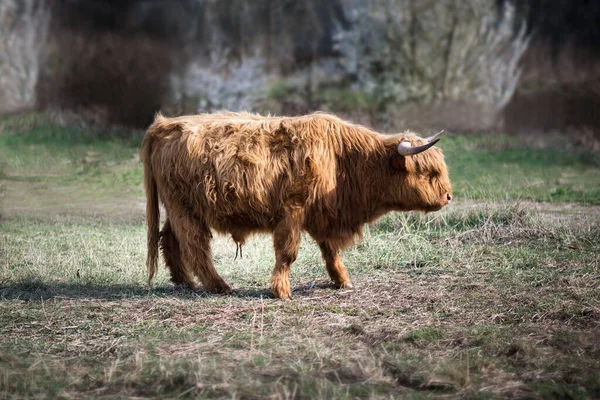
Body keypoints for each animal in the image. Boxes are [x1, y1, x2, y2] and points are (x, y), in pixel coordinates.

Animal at [139, 111, 450, 298]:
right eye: (429, 172)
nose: (448, 196)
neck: (343, 160)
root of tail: (165, 125)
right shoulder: (292, 212)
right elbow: (288, 253)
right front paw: (281, 291)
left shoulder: (323, 216)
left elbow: (330, 252)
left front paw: (342, 280)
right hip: (186, 209)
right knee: (195, 246)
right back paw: (219, 286)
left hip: (178, 209)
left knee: (169, 238)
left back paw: (184, 281)